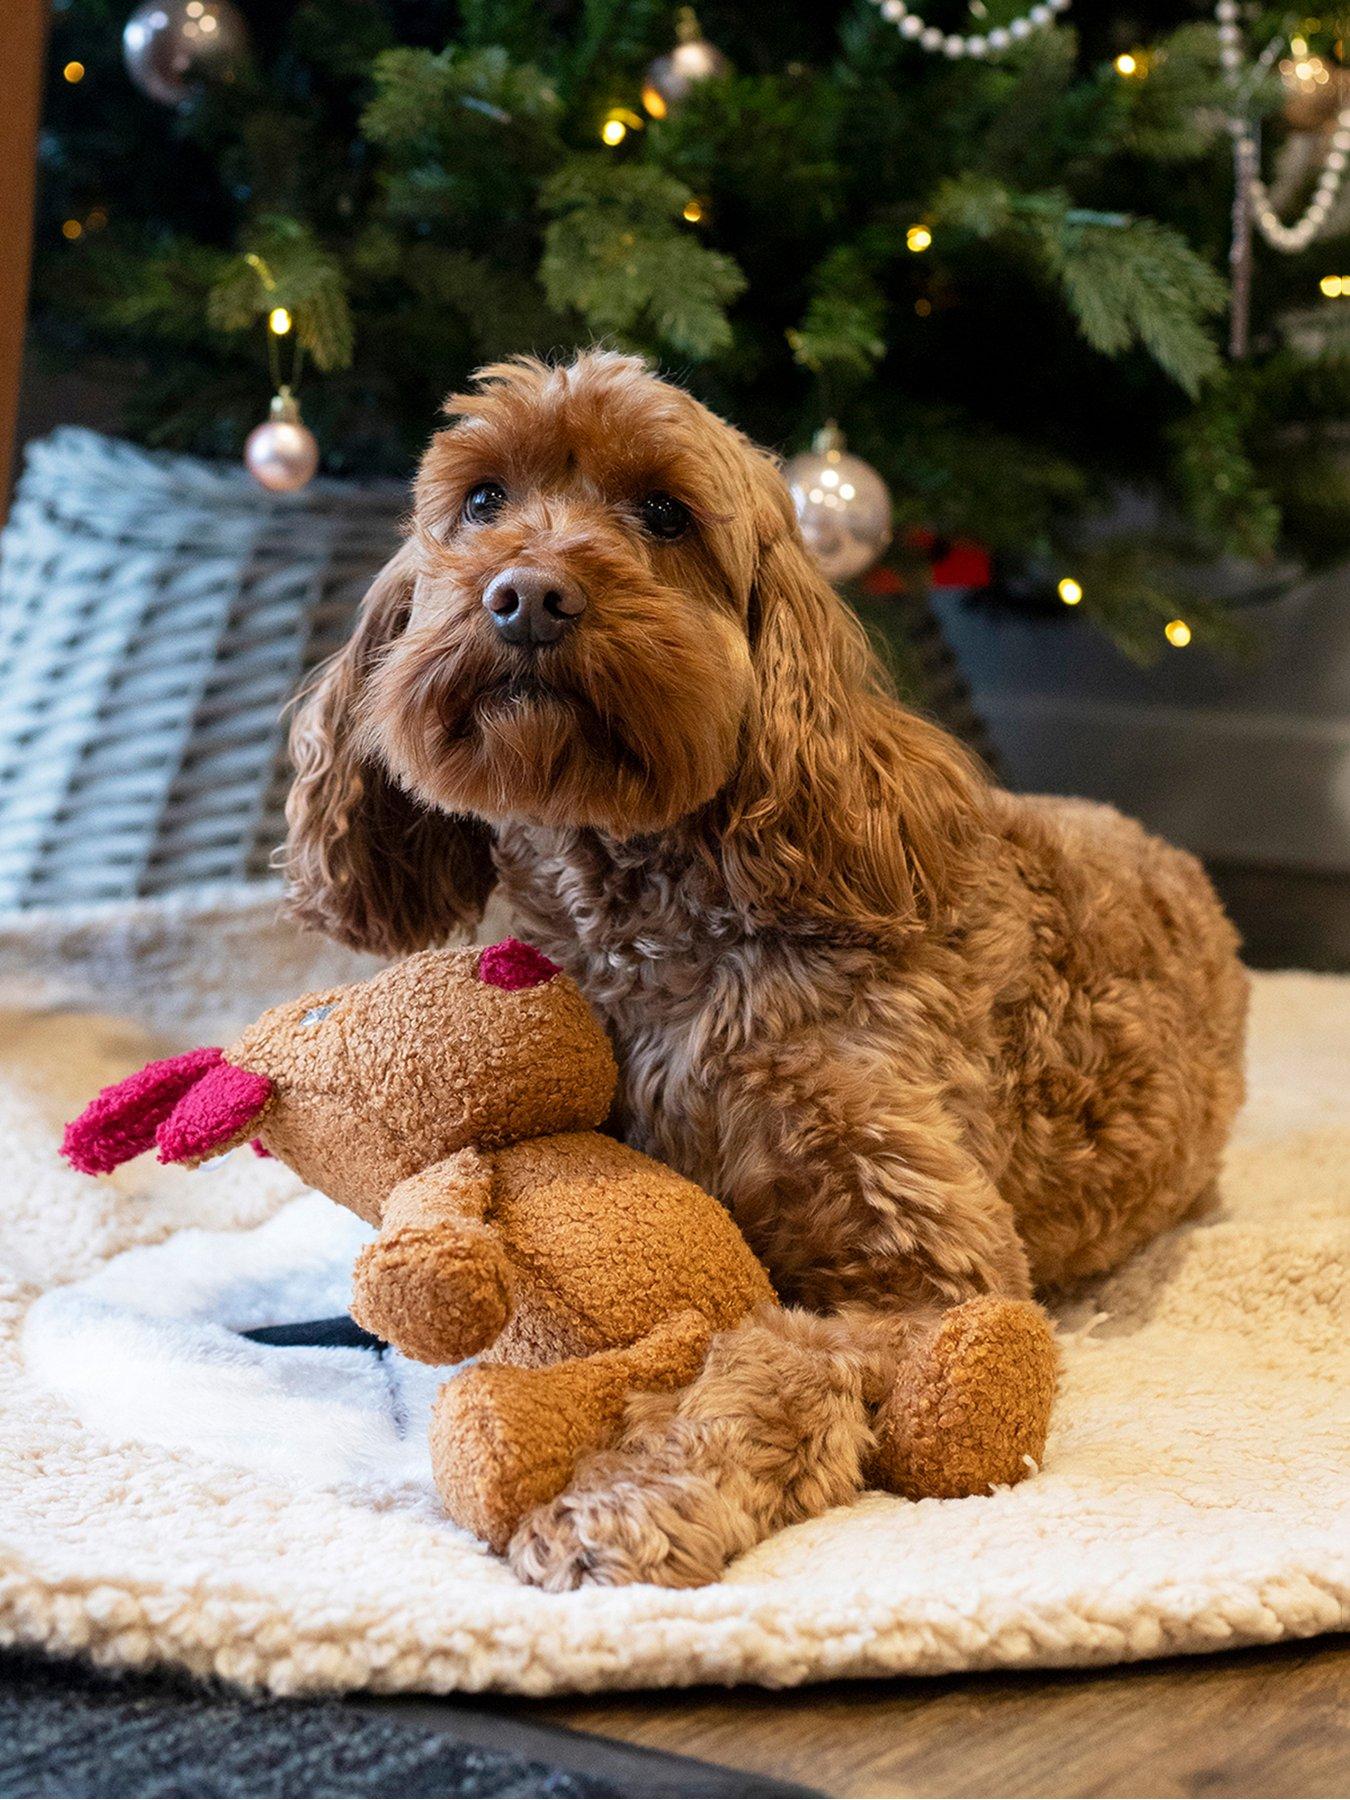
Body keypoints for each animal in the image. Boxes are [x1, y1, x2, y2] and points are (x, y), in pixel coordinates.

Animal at [282, 347, 1245, 1591]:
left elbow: (766, 1361)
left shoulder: (926, 1268)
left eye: (663, 512)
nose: (528, 595)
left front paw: (619, 1498)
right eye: (484, 499)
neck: (649, 936)